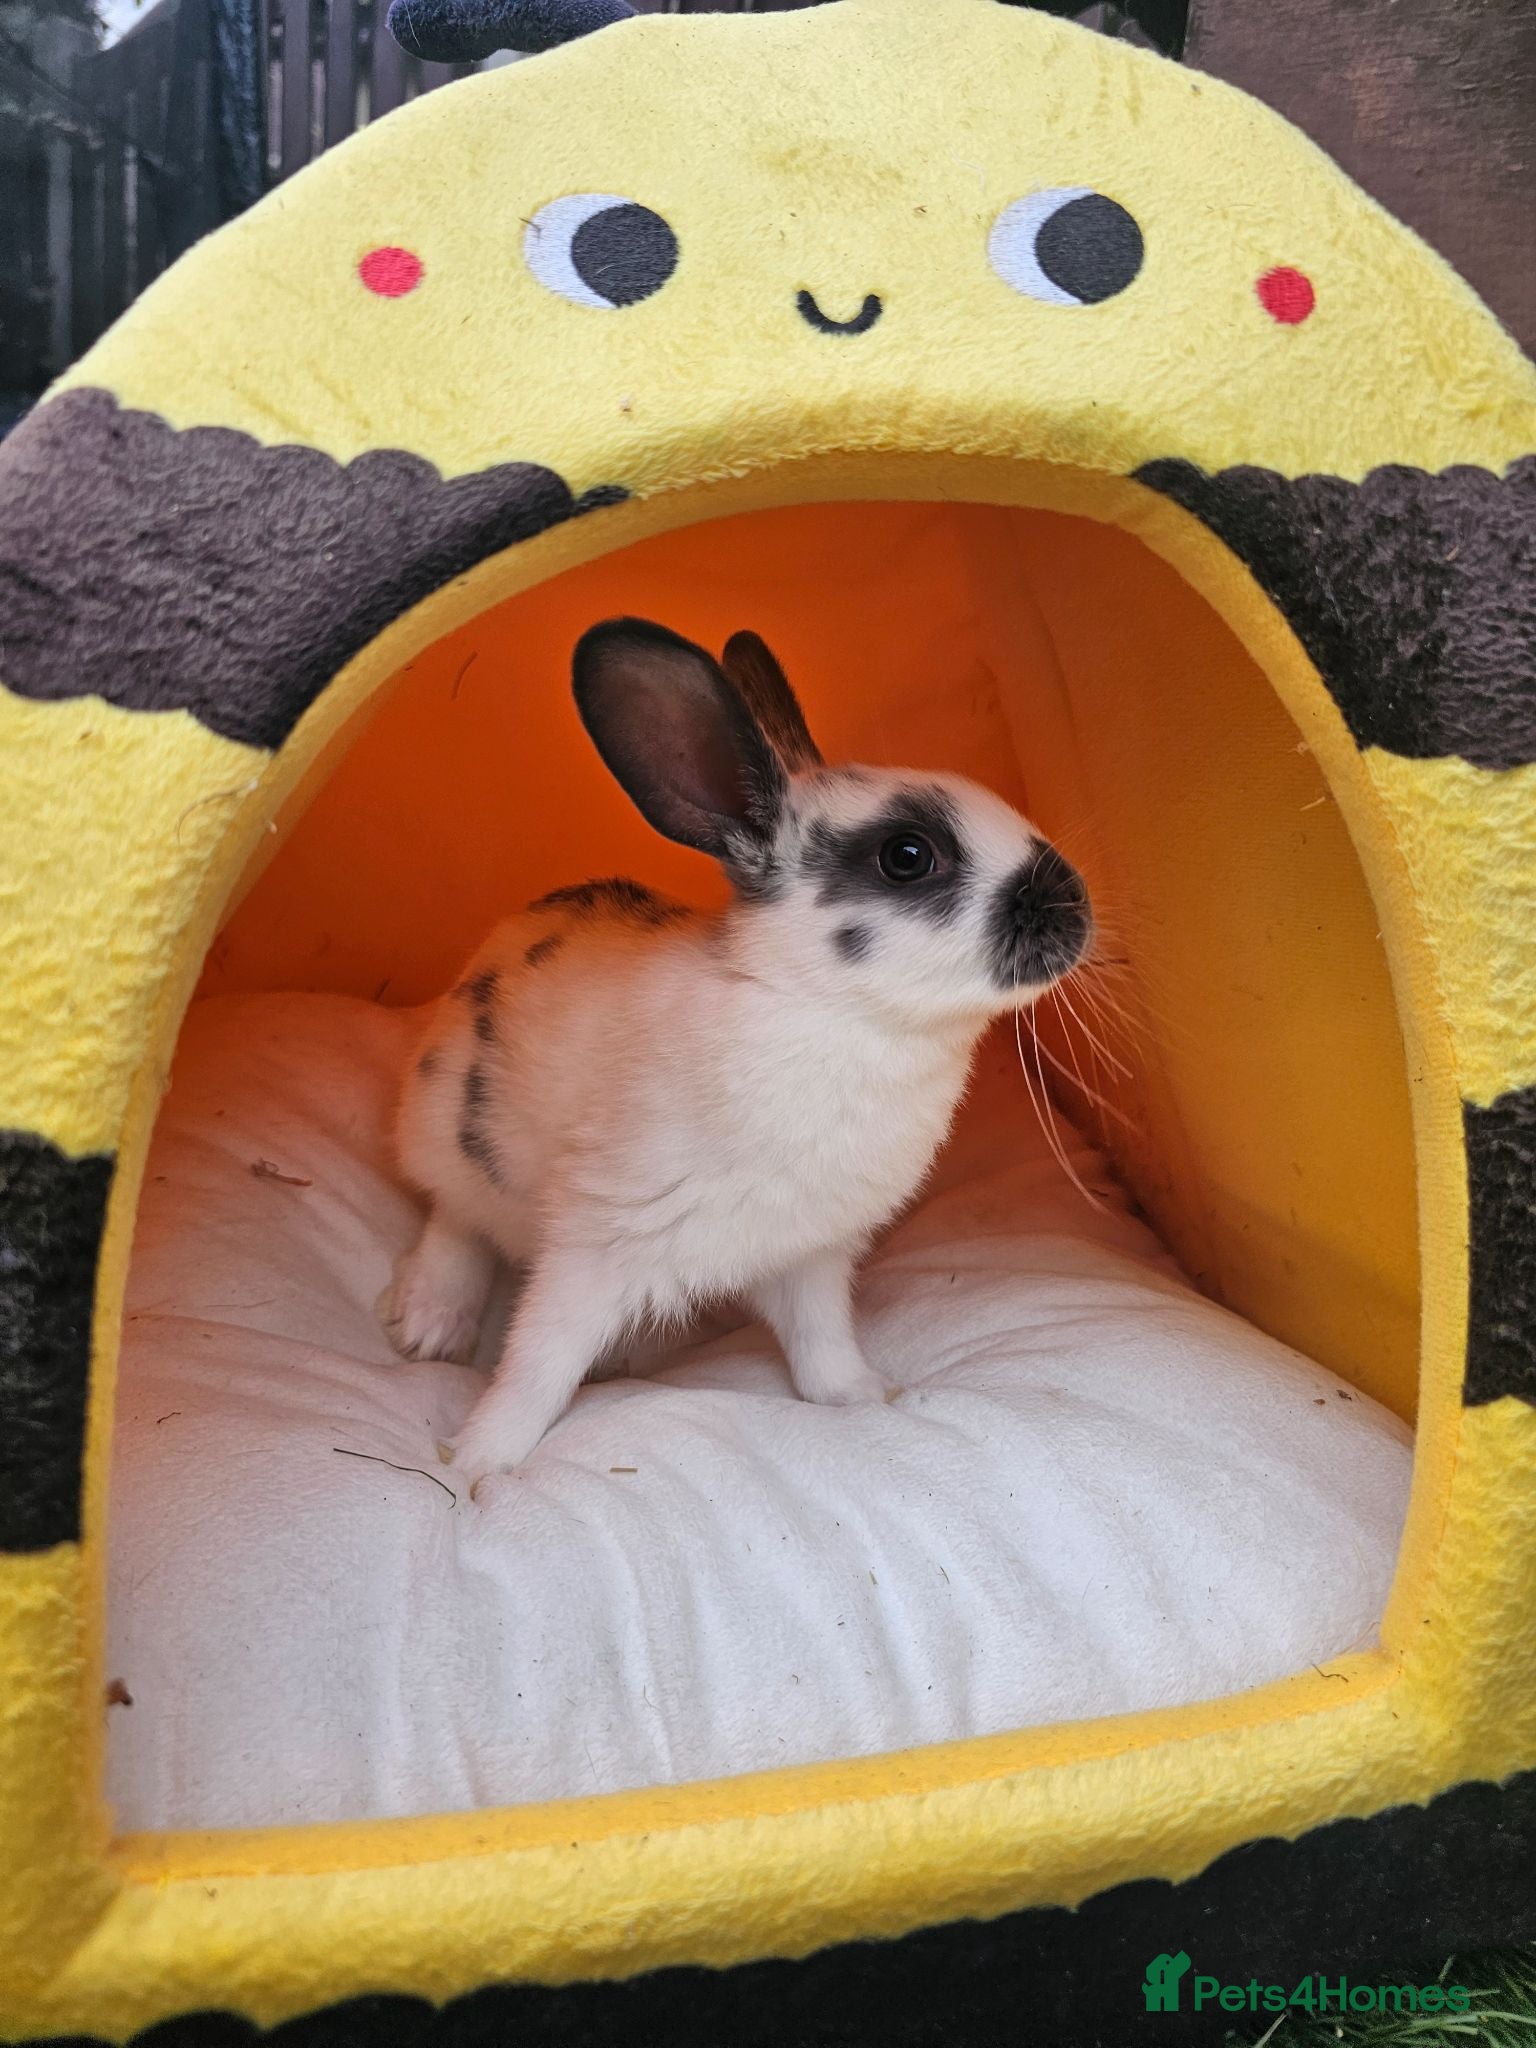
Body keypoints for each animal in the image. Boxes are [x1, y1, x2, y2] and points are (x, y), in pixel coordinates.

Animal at [379, 617, 1093, 1490]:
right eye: (908, 856)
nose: (1077, 905)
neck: (831, 1014)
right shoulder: (596, 1246)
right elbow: (536, 1365)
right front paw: (477, 1467)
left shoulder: (811, 1254)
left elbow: (823, 1342)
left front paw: (869, 1398)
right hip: (453, 1131)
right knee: (454, 1221)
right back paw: (429, 1324)